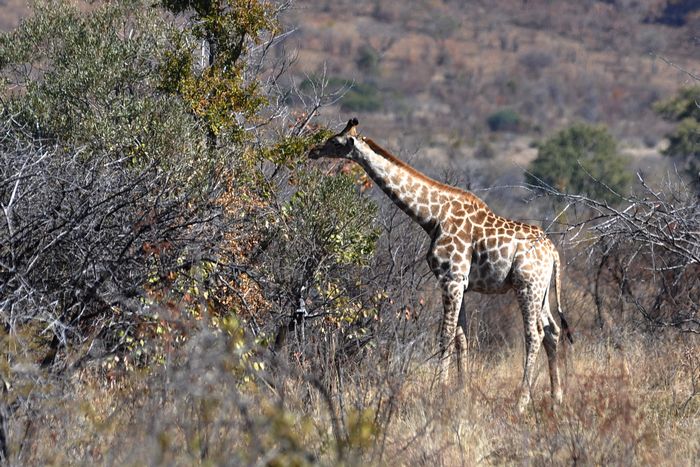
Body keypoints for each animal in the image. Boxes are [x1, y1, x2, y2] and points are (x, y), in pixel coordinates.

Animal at [308, 119, 572, 412]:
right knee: (552, 330)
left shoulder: (450, 278)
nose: (313, 151)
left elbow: (444, 335)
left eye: (335, 141)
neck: (432, 217)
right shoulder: (461, 283)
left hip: (526, 286)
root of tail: (553, 251)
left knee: (534, 334)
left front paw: (438, 390)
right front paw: (461, 390)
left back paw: (522, 401)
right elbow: (461, 337)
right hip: (542, 289)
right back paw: (557, 398)